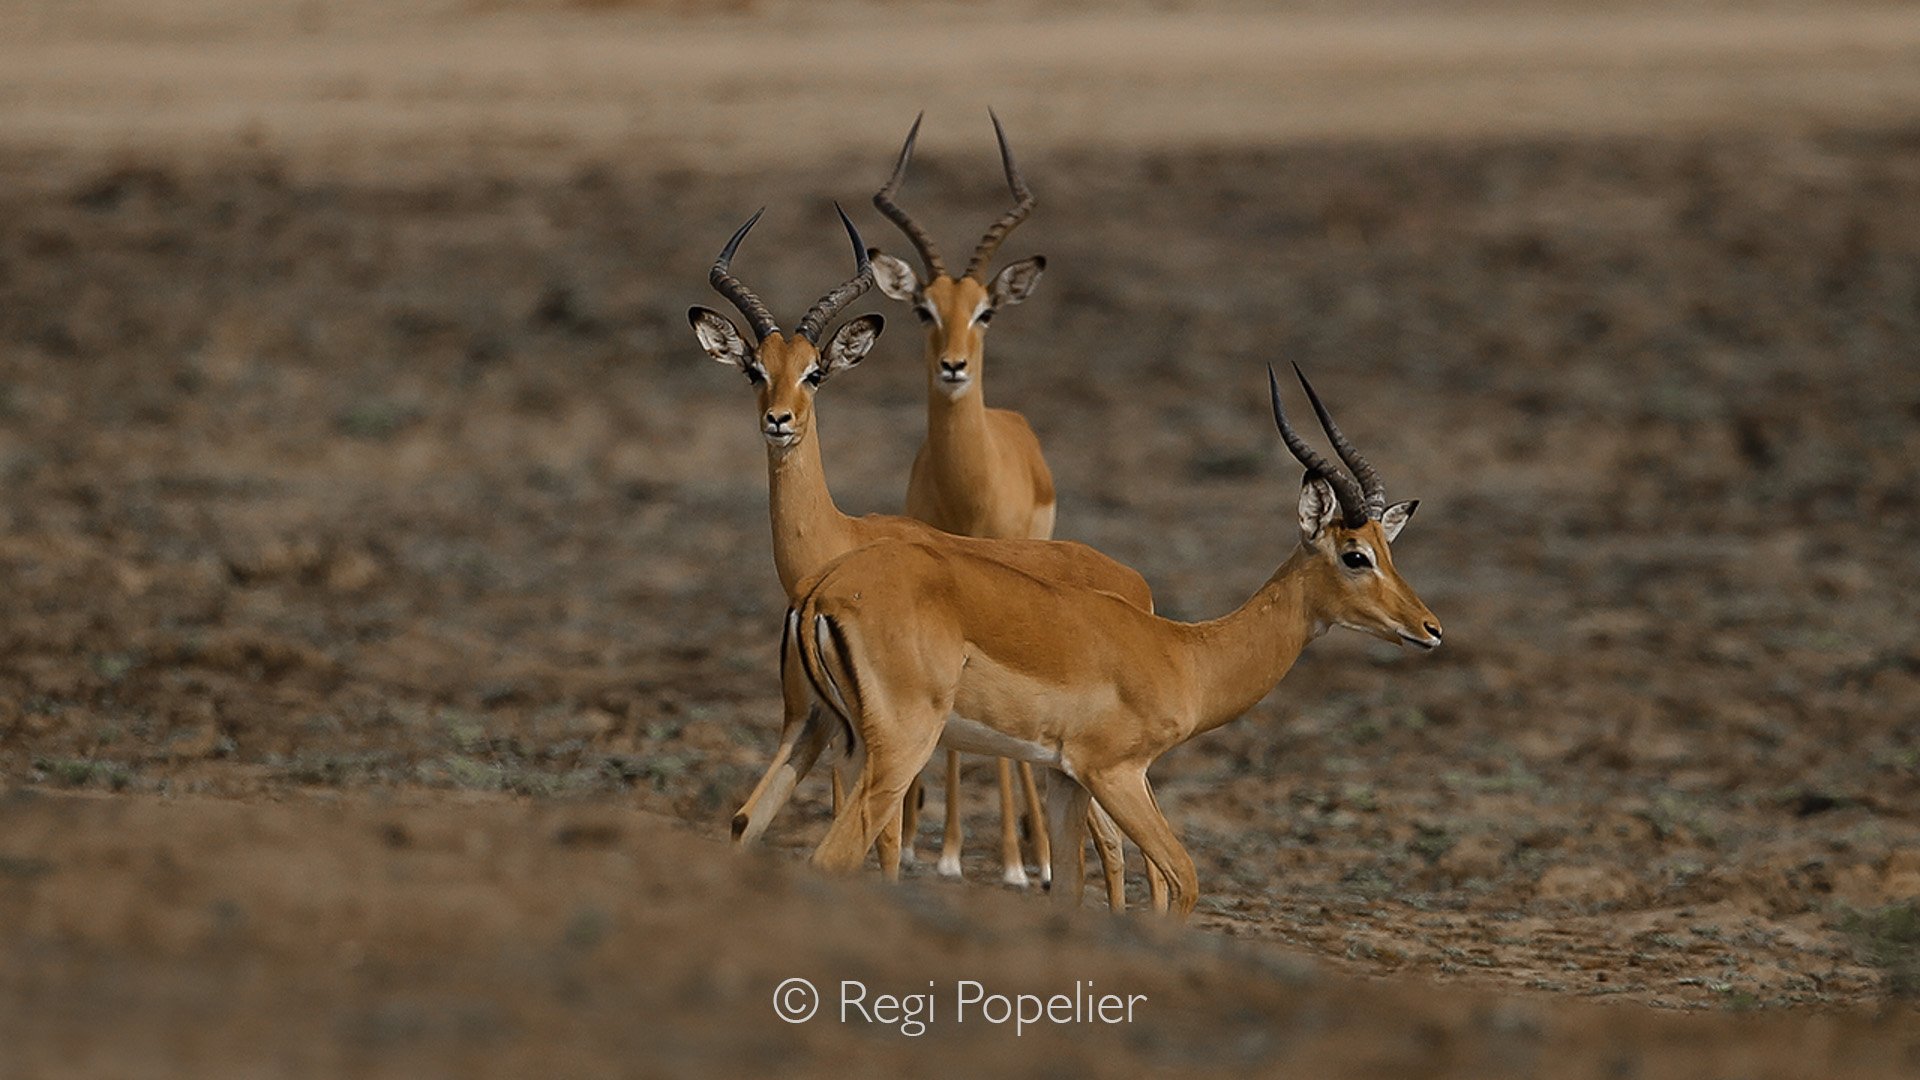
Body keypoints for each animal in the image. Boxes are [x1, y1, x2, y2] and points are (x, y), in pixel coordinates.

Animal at [690, 206, 1149, 901]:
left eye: (814, 372)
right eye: (754, 369)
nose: (779, 421)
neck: (840, 537)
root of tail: (1132, 582)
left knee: (1117, 842)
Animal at [790, 367, 1442, 917]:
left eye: (1387, 551)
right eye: (1355, 556)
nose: (1430, 628)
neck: (1185, 654)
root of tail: (824, 594)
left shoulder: (1066, 778)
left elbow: (1073, 890)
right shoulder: (1114, 772)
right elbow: (1182, 880)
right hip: (900, 750)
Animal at [866, 111, 1071, 890]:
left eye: (985, 312)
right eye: (923, 309)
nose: (953, 366)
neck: (969, 491)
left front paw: (1013, 862)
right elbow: (954, 733)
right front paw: (945, 852)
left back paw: (1039, 857)